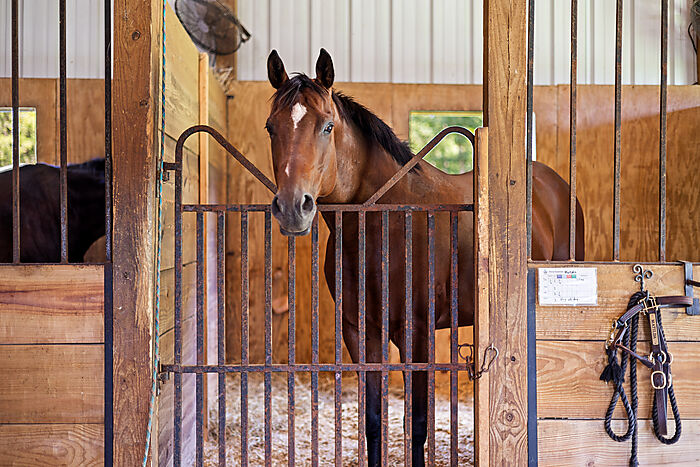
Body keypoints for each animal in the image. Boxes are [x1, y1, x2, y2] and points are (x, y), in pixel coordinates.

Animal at [265, 48, 584, 466]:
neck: (387, 225)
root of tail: (556, 186)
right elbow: (374, 421)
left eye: (327, 126)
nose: (292, 207)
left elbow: (417, 423)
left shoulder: (416, 333)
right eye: (271, 127)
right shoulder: (360, 333)